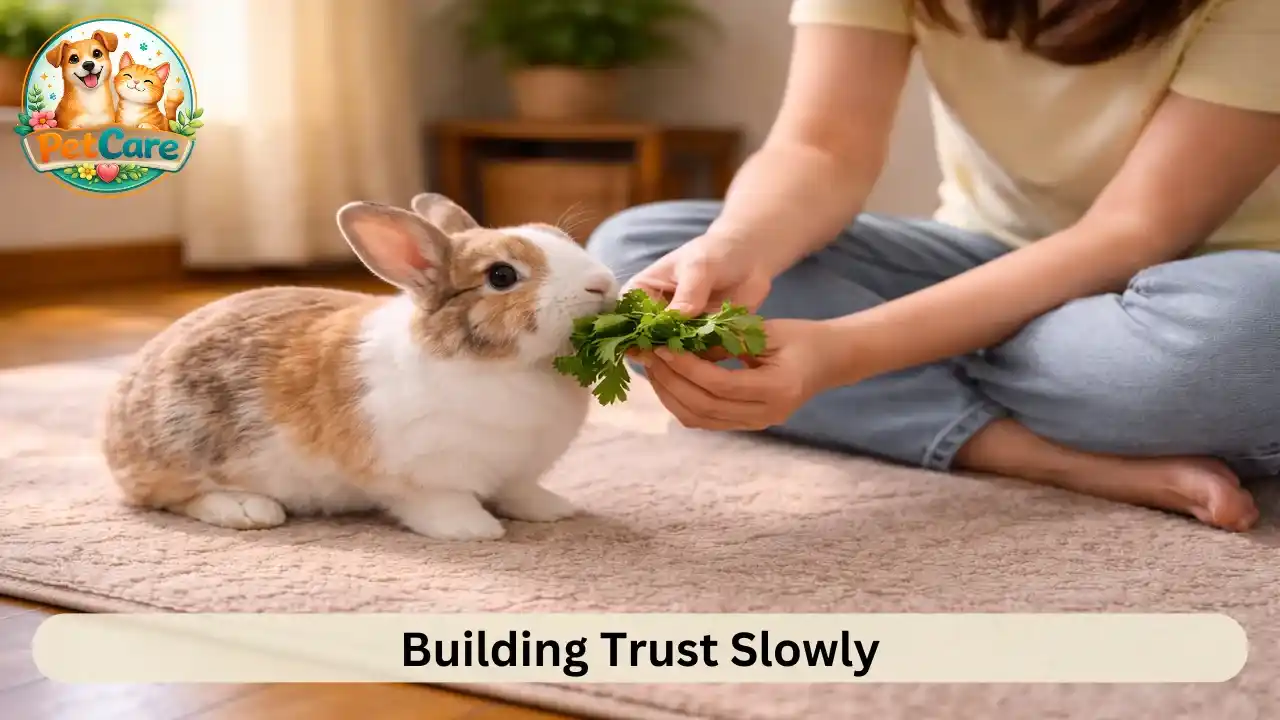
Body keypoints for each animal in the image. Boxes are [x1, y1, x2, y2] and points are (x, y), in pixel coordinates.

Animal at [100, 193, 619, 541]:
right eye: (502, 276)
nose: (601, 283)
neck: (510, 364)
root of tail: (112, 430)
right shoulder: (421, 475)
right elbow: (439, 502)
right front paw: (474, 530)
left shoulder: (518, 472)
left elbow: (520, 491)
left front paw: (553, 510)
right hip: (183, 448)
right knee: (168, 497)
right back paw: (248, 510)